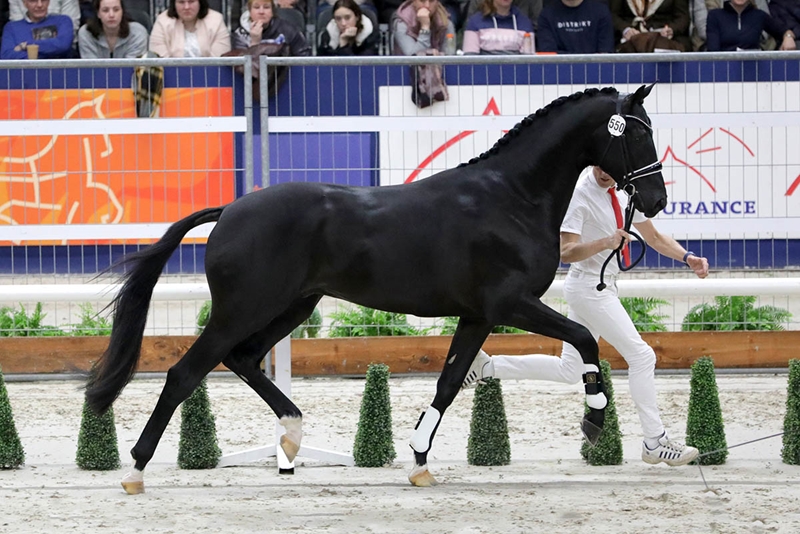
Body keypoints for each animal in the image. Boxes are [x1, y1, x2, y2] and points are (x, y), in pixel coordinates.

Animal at [86, 84, 667, 493]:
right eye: (636, 134)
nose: (657, 200)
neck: (512, 197)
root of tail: (229, 209)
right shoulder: (512, 304)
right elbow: (585, 339)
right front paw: (594, 421)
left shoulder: (478, 315)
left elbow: (449, 383)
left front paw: (419, 460)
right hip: (245, 308)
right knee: (186, 372)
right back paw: (135, 471)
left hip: (292, 306)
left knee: (243, 359)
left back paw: (292, 435)